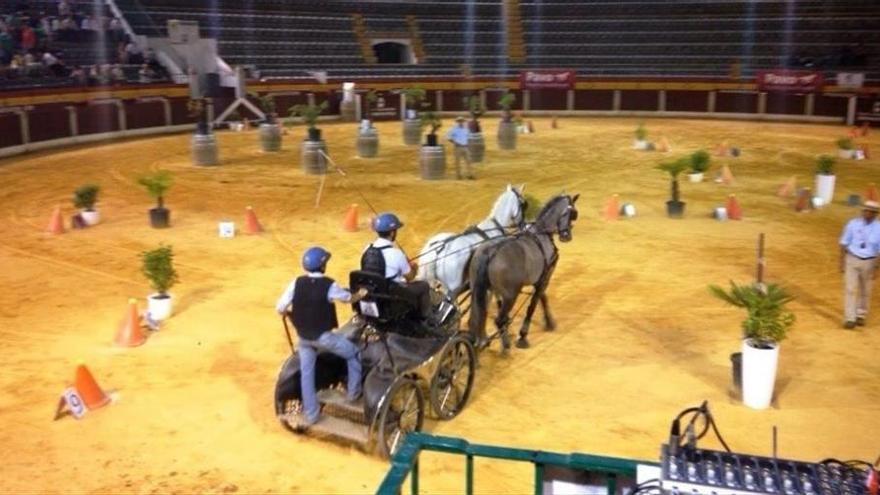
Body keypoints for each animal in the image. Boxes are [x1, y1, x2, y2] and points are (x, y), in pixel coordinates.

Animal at [464, 192, 580, 350]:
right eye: (572, 213)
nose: (566, 236)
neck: (541, 234)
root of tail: (490, 253)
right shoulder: (545, 278)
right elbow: (533, 306)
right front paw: (523, 336)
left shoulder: (539, 279)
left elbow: (543, 298)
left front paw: (549, 322)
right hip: (510, 295)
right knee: (499, 319)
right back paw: (505, 345)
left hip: (483, 292)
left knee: (477, 317)